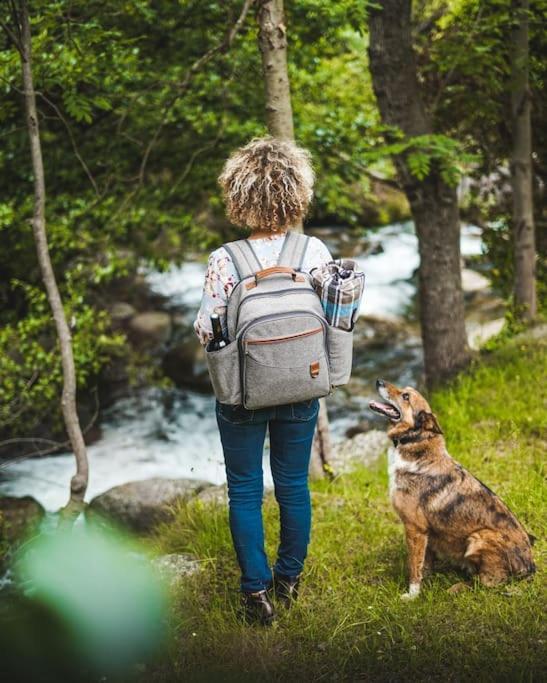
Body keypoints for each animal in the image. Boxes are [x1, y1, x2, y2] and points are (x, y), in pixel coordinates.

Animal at [368, 380, 536, 600]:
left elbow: (413, 566)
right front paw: (425, 579)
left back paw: (457, 587)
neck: (415, 441)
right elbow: (423, 562)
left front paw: (412, 595)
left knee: (488, 582)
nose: (378, 381)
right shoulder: (425, 532)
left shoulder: (414, 527)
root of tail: (530, 566)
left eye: (405, 396)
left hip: (478, 538)